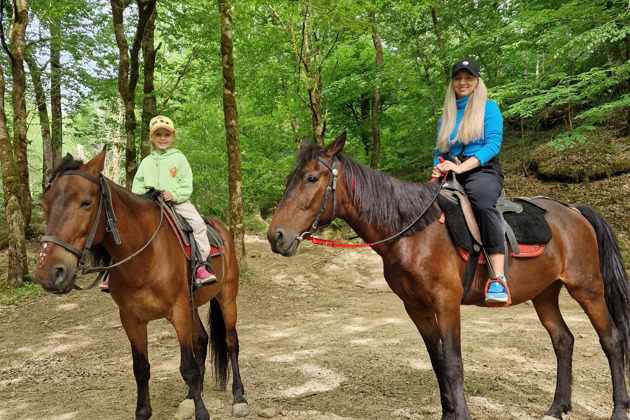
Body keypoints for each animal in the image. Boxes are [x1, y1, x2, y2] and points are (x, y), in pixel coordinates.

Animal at [35, 148, 249, 420]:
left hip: (226, 297)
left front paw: (202, 413)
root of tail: (222, 228)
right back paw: (190, 398)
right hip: (193, 306)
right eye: (43, 205)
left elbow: (187, 367)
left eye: (86, 202)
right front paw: (145, 411)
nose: (49, 272)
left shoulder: (179, 312)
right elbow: (141, 368)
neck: (144, 256)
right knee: (201, 341)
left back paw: (239, 397)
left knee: (231, 342)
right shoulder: (131, 318)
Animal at [266, 131, 630, 420]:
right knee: (563, 340)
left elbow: (454, 364)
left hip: (587, 288)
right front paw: (447, 413)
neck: (412, 231)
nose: (276, 236)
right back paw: (557, 407)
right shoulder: (416, 308)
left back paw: (618, 408)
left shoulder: (447, 303)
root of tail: (573, 210)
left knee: (611, 339)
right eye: (287, 180)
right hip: (545, 293)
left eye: (311, 179)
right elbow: (438, 362)